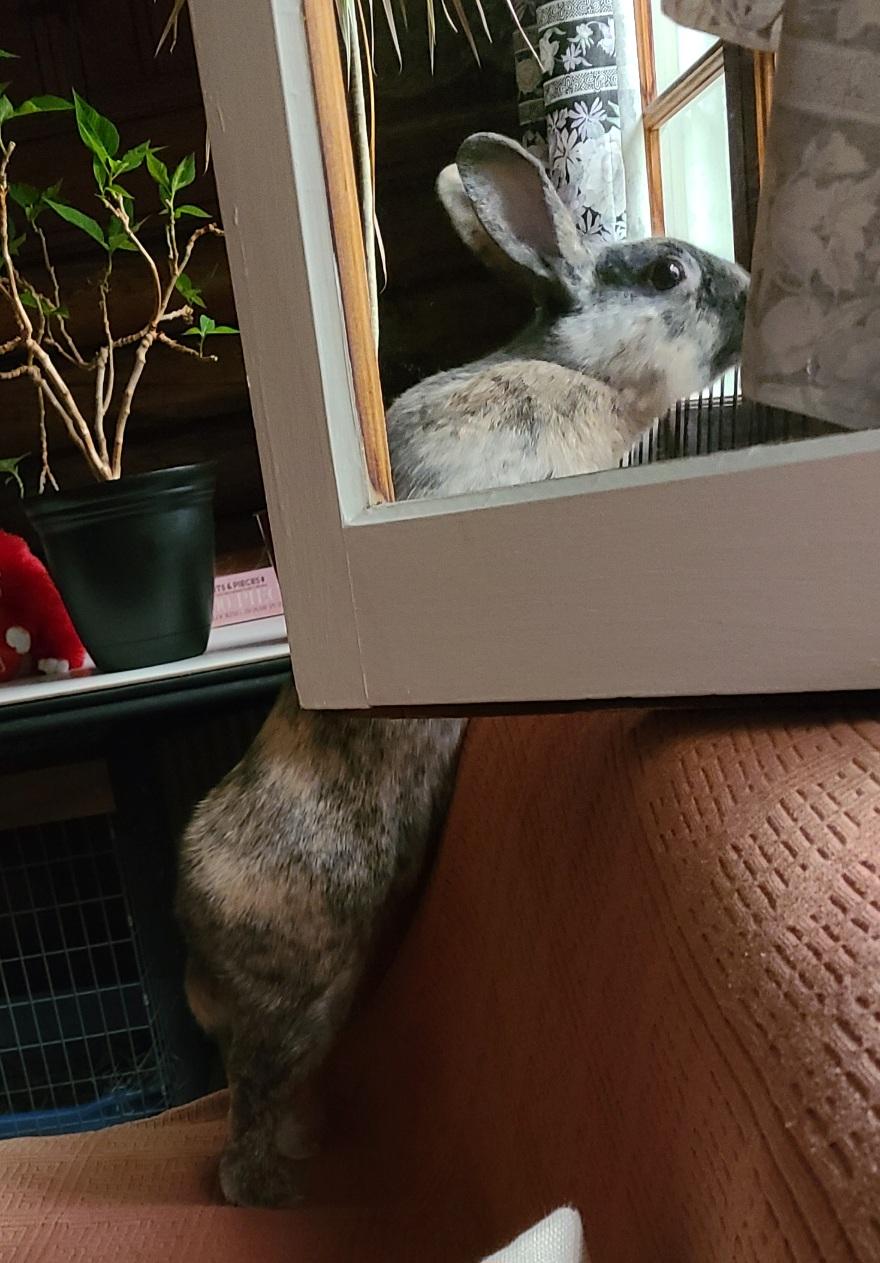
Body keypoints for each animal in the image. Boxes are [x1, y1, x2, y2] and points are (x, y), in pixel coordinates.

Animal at [176, 131, 749, 1209]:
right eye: (668, 274)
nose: (747, 291)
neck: (587, 377)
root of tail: (192, 934)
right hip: (302, 1004)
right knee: (243, 1119)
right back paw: (276, 1187)